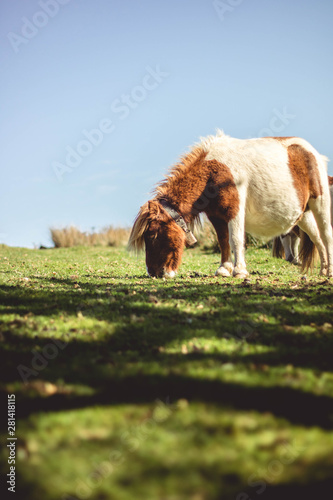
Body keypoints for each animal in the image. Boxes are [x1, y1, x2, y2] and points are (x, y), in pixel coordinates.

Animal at [127, 131, 332, 280]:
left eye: (152, 234)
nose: (154, 273)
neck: (212, 171)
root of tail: (314, 154)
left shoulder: (234, 211)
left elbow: (235, 239)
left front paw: (239, 271)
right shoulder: (216, 216)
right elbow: (223, 240)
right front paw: (224, 269)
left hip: (319, 203)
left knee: (326, 235)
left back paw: (328, 271)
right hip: (303, 214)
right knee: (316, 238)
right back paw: (323, 269)